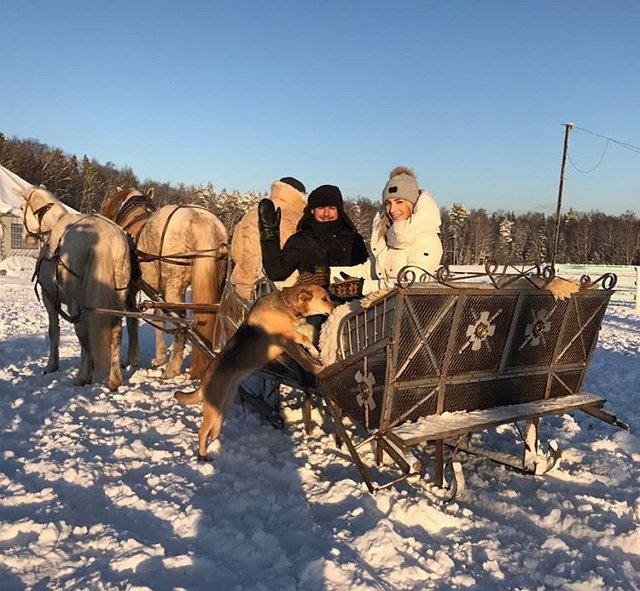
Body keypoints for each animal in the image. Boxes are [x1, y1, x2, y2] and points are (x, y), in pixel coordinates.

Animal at [20, 185, 134, 390]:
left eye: (21, 208)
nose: (25, 237)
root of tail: (104, 237)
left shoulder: (49, 298)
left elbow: (54, 331)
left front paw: (51, 365)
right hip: (117, 299)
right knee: (116, 332)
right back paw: (114, 380)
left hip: (76, 303)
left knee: (83, 334)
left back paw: (82, 377)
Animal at [175, 284, 336, 460]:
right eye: (324, 299)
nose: (335, 307)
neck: (287, 305)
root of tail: (204, 380)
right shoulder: (287, 342)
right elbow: (304, 359)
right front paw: (318, 368)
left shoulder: (293, 337)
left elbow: (305, 340)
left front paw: (314, 352)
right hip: (213, 407)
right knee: (202, 431)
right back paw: (203, 455)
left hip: (224, 405)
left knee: (214, 430)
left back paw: (217, 446)